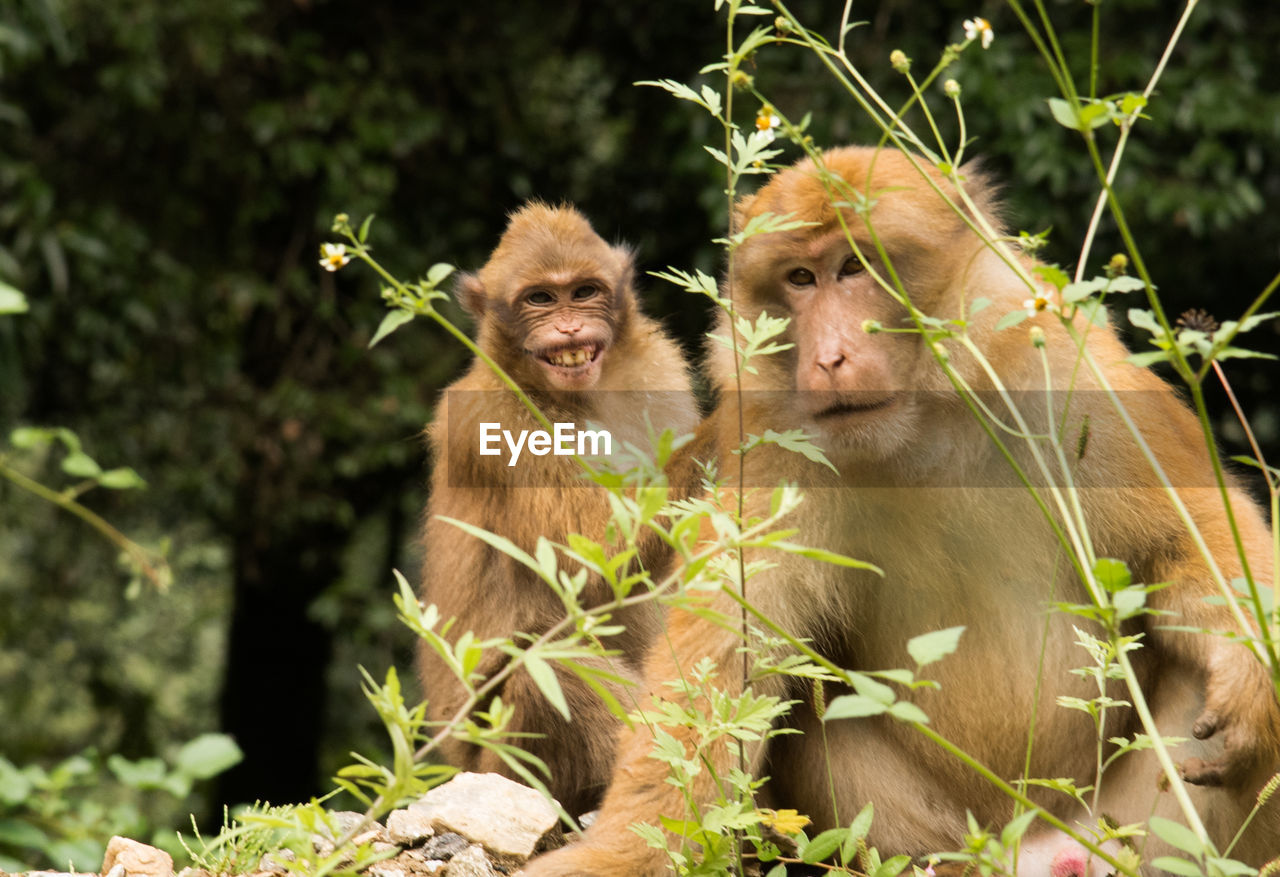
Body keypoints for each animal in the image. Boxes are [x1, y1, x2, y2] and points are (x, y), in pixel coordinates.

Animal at [419, 202, 701, 819]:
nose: (570, 327)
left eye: (584, 291)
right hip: (500, 767)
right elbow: (588, 563)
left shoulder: (658, 368)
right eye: (541, 299)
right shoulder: (491, 420)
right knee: (544, 664)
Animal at [519, 148, 1280, 870]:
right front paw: (621, 853)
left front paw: (1252, 674)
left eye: (855, 267)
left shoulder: (1075, 377)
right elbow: (724, 672)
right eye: (800, 278)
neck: (925, 424)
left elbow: (1188, 541)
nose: (829, 356)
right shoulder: (770, 446)